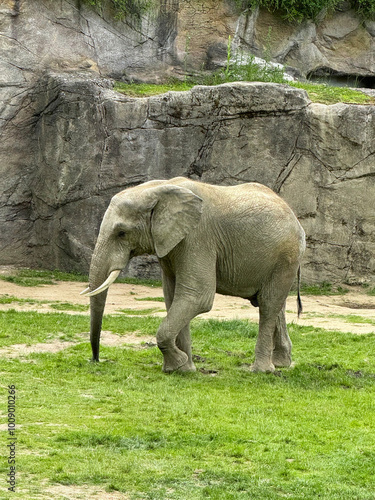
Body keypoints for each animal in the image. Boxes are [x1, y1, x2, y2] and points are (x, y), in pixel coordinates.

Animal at [81, 178, 306, 374]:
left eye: (121, 233)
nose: (96, 360)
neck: (159, 188)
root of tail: (296, 219)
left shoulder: (197, 237)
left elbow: (197, 296)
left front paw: (177, 365)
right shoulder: (171, 243)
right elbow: (173, 297)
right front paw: (183, 370)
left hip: (286, 255)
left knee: (268, 305)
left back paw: (262, 371)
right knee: (274, 304)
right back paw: (281, 364)